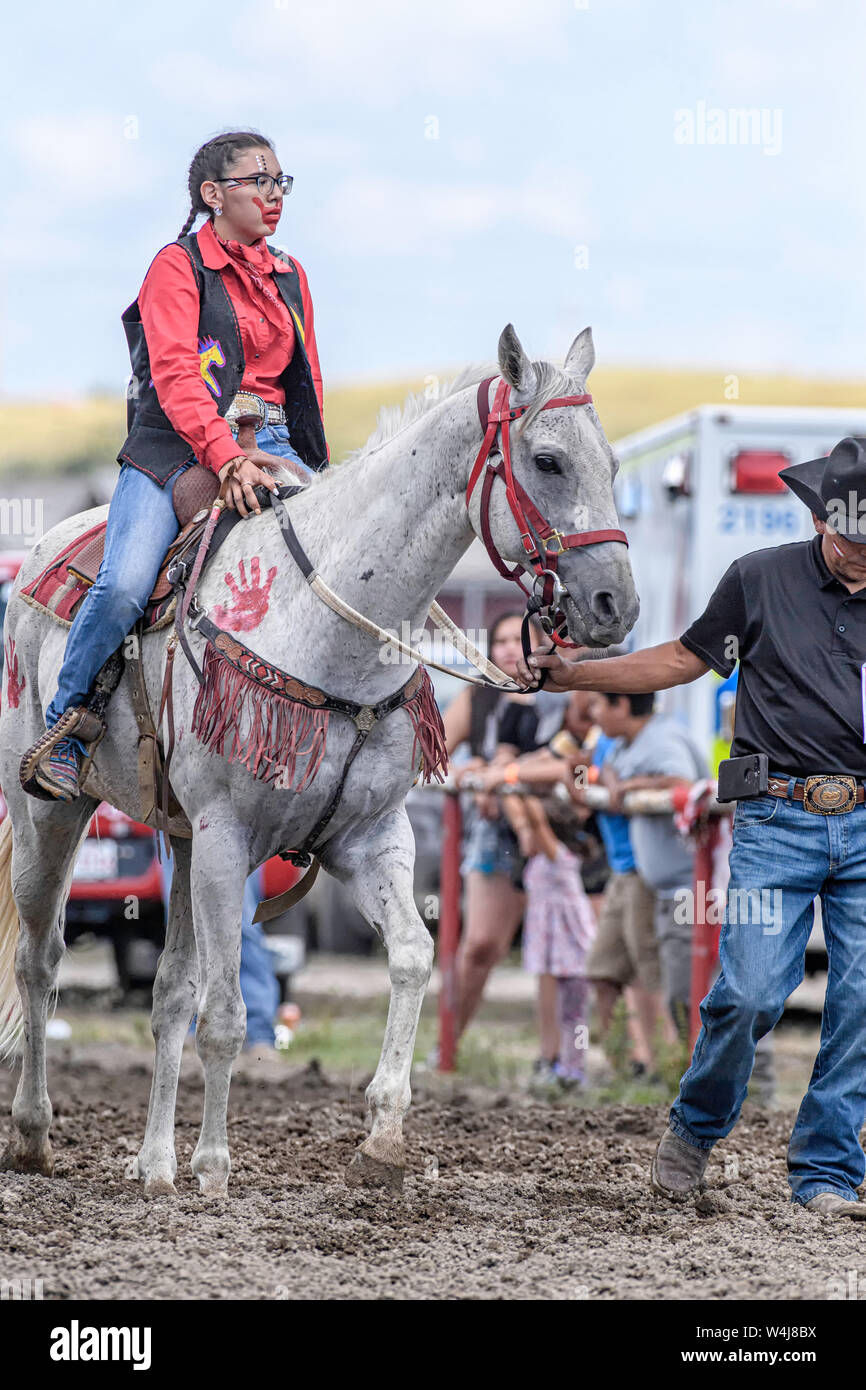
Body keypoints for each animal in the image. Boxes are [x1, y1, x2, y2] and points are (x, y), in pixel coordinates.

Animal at [0, 324, 638, 1197]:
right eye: (547, 461)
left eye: (611, 464)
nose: (617, 606)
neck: (332, 627)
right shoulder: (229, 838)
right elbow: (227, 1014)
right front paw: (215, 1166)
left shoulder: (367, 838)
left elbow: (412, 957)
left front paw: (385, 1134)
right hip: (51, 814)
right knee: (41, 960)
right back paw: (35, 1135)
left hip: (180, 842)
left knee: (166, 992)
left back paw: (154, 1164)